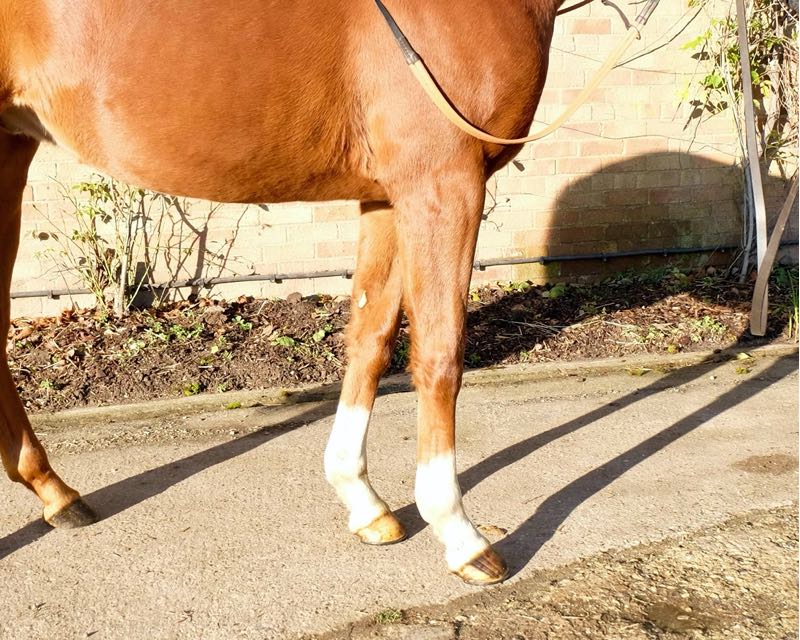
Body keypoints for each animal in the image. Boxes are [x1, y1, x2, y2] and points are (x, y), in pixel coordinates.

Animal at [0, 0, 561, 584]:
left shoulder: (389, 195)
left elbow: (372, 338)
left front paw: (362, 500)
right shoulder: (442, 182)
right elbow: (440, 355)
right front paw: (460, 535)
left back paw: (55, 493)